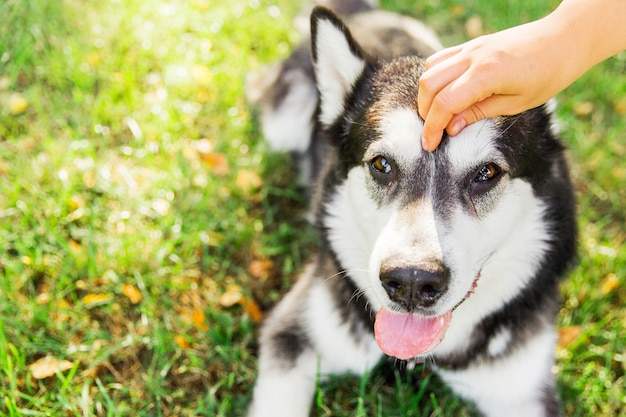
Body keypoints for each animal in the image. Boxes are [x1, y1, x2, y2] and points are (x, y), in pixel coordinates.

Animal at [245, 4, 576, 416]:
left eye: (486, 173)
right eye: (381, 164)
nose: (413, 283)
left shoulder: (521, 391)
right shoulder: (291, 335)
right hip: (283, 124)